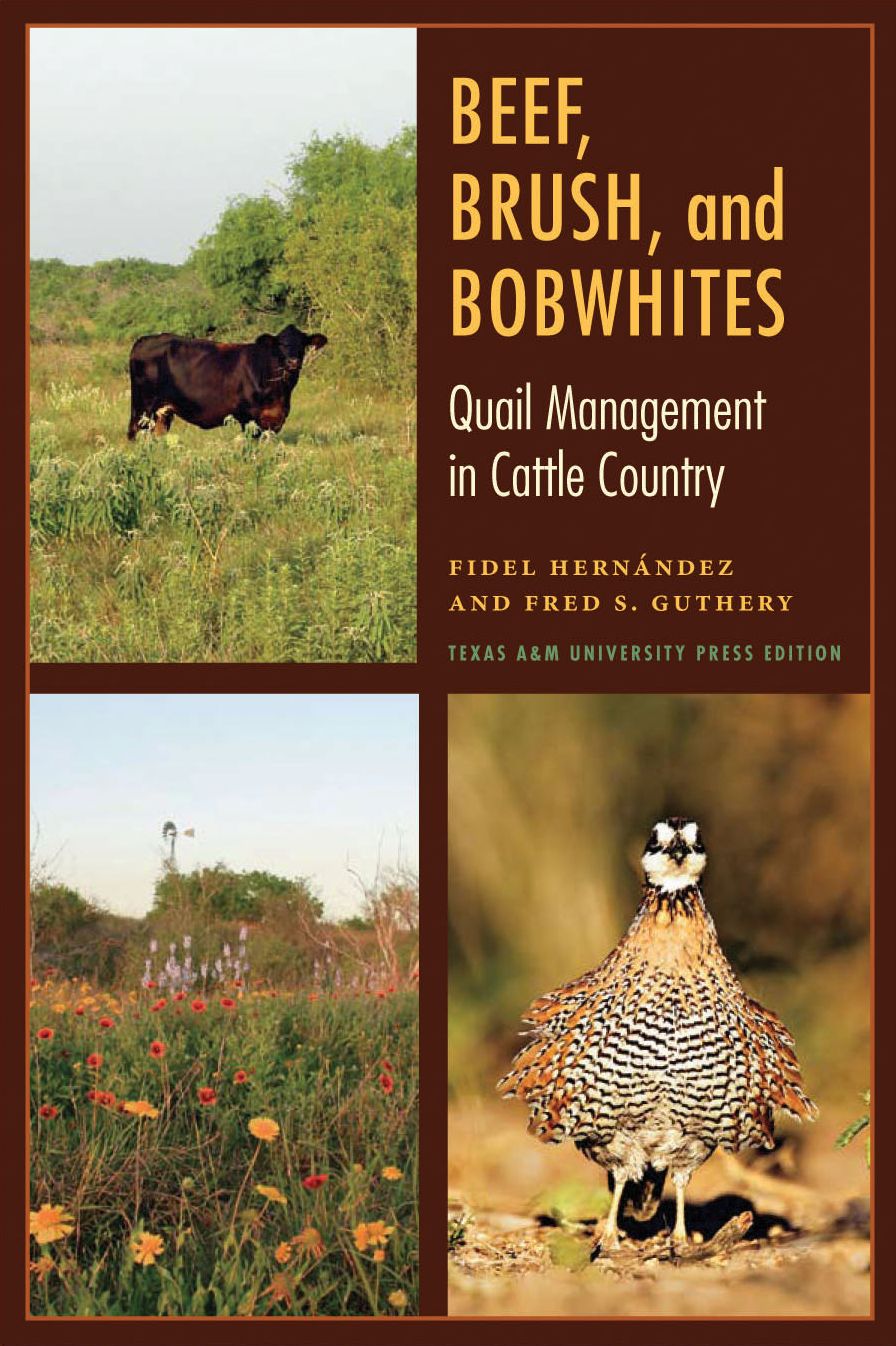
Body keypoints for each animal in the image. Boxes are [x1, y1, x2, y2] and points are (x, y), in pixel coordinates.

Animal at [127, 325, 327, 439]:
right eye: (281, 344)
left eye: (303, 343)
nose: (293, 361)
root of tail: (144, 340)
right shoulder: (249, 418)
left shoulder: (274, 419)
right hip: (142, 406)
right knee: (133, 433)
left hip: (162, 412)